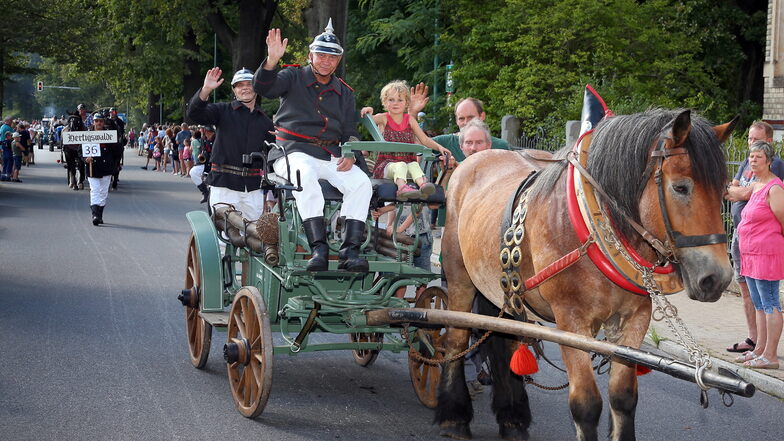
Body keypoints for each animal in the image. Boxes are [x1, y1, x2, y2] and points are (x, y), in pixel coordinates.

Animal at [440, 104, 736, 440]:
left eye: (724, 191)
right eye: (681, 187)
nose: (717, 278)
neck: (592, 231)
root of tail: (475, 158)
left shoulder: (633, 319)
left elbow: (623, 397)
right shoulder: (571, 323)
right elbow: (586, 404)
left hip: (504, 293)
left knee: (505, 342)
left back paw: (512, 420)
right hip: (460, 277)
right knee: (456, 338)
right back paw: (454, 417)